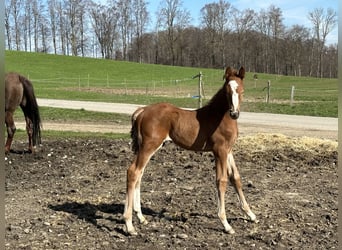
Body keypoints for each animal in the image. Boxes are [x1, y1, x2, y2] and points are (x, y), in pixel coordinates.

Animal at [124, 66, 255, 234]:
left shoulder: (229, 150)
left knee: (139, 173)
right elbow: (222, 180)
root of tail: (142, 111)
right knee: (133, 172)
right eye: (227, 91)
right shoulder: (220, 150)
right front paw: (226, 224)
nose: (234, 113)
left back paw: (141, 217)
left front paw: (251, 215)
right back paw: (129, 225)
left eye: (242, 91)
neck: (219, 117)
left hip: (145, 147)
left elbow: (236, 178)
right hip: (149, 146)